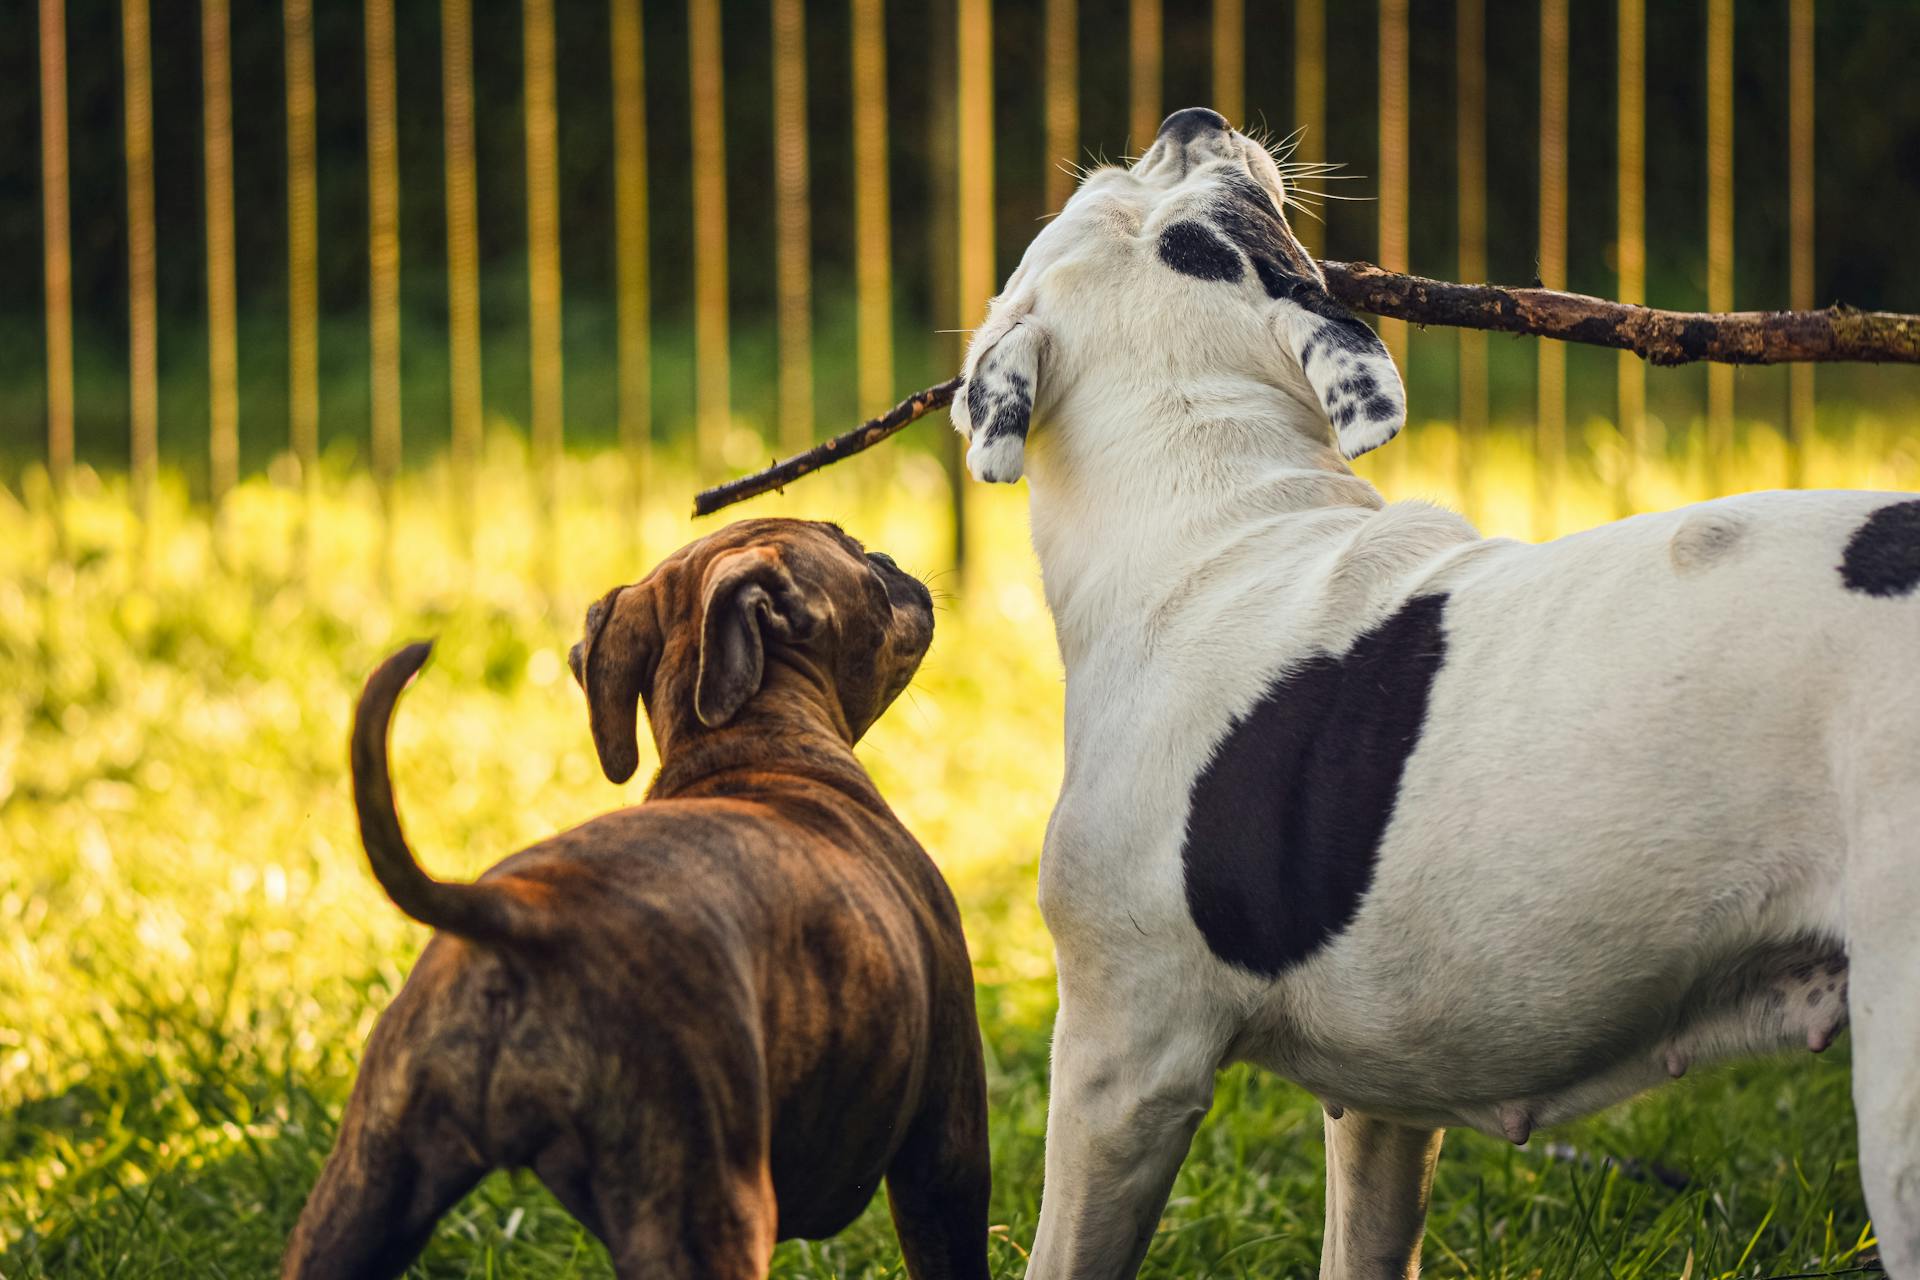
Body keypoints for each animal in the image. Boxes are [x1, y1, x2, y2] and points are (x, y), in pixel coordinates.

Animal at [284, 521, 990, 1280]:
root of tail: (524, 912)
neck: (750, 740)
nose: (889, 557)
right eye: (852, 551)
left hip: (359, 1197)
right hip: (704, 1205)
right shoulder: (947, 1144)